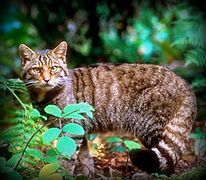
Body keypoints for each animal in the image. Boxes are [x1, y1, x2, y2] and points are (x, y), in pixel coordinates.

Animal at [18, 40, 196, 176]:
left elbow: (67, 158)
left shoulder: (70, 128)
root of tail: (185, 84)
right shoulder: (78, 128)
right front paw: (86, 173)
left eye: (54, 68)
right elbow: (84, 155)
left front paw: (63, 174)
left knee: (167, 161)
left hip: (150, 127)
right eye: (36, 69)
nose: (47, 79)